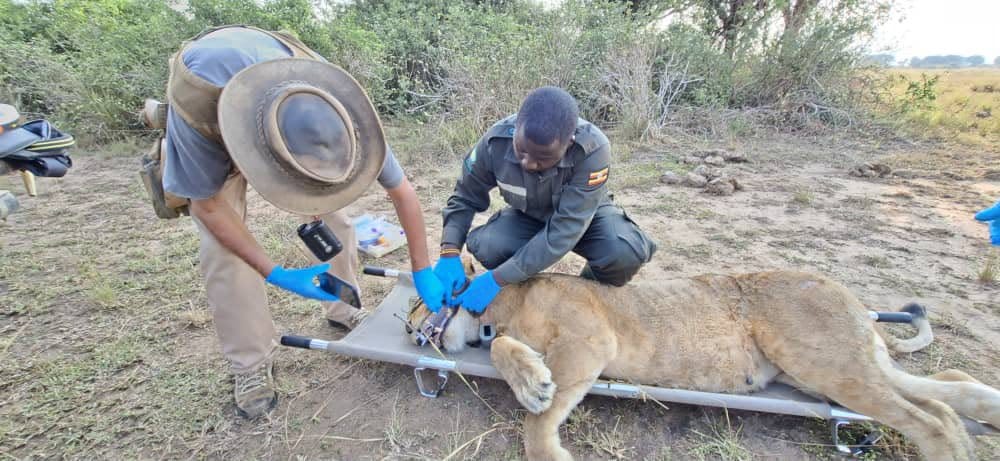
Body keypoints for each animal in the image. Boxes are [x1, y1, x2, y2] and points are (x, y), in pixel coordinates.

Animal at [406, 267, 1000, 461]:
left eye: (415, 302)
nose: (410, 331)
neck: (498, 307)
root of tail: (850, 296)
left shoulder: (590, 341)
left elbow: (536, 422)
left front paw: (547, 440)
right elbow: (504, 350)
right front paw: (531, 382)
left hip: (825, 361)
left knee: (931, 419)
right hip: (821, 373)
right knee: (947, 391)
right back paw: (986, 410)